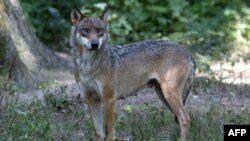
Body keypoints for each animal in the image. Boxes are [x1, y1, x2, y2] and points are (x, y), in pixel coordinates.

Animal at [70, 7, 195, 141]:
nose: (94, 44)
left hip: (170, 96)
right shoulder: (92, 101)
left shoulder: (110, 100)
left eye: (99, 30)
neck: (88, 65)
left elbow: (109, 134)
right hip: (164, 97)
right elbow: (99, 134)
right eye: (85, 30)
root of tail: (186, 50)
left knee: (186, 120)